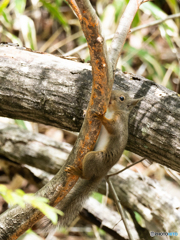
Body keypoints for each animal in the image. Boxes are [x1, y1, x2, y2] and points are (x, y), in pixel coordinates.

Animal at [44, 89, 142, 232]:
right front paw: (86, 112)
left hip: (95, 158)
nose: (110, 94)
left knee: (86, 175)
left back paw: (78, 172)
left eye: (121, 98)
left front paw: (101, 117)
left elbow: (112, 127)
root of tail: (103, 172)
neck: (112, 111)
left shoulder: (119, 123)